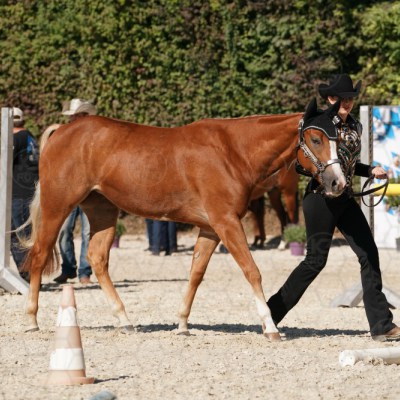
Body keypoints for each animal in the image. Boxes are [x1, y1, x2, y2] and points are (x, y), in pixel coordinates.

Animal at [21, 98, 346, 341]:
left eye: (338, 139)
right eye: (315, 138)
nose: (337, 183)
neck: (232, 151)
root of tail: (63, 130)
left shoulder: (210, 228)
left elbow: (196, 275)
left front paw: (182, 324)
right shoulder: (226, 222)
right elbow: (251, 271)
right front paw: (270, 327)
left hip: (102, 210)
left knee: (98, 259)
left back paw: (125, 320)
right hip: (57, 205)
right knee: (39, 255)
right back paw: (31, 320)